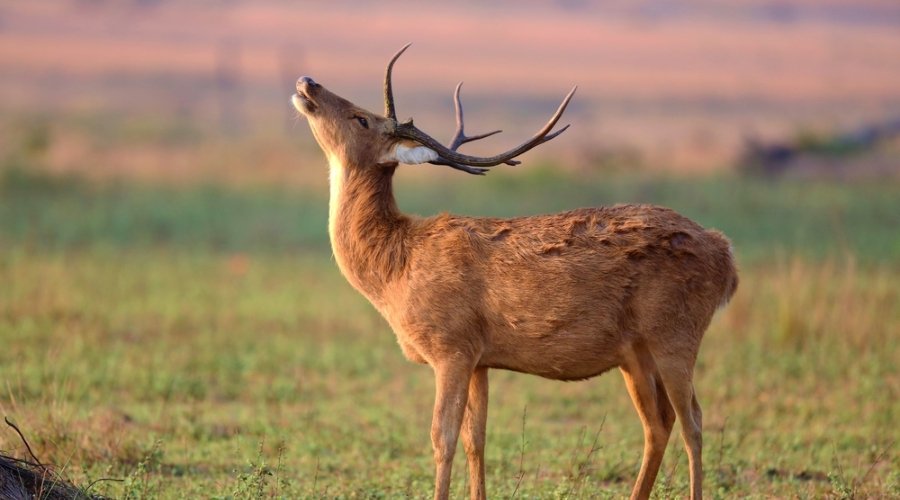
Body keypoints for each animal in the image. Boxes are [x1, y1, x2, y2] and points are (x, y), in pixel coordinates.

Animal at [291, 44, 738, 500]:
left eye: (362, 118)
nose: (308, 82)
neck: (393, 271)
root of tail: (727, 257)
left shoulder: (451, 346)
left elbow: (442, 438)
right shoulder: (479, 358)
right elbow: (476, 439)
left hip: (676, 333)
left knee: (694, 422)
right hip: (635, 353)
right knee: (659, 423)